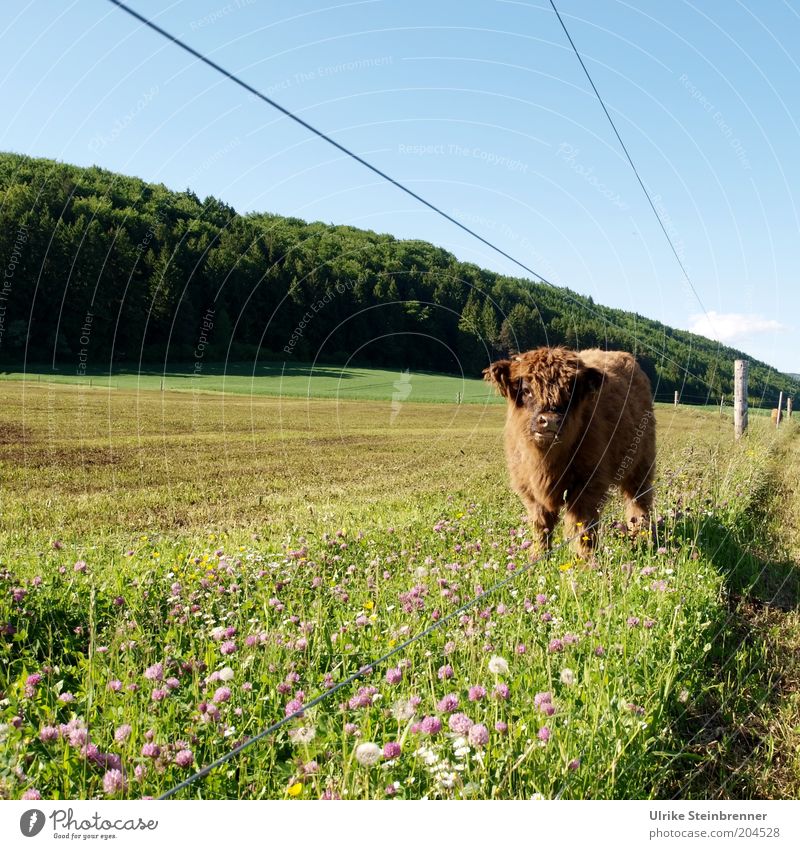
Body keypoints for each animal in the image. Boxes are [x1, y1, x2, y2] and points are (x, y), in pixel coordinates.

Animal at [484, 344, 652, 556]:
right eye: (526, 390)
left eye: (570, 392)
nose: (550, 421)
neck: (545, 463)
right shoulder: (530, 492)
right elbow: (541, 527)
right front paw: (538, 556)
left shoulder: (587, 487)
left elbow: (582, 528)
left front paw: (586, 559)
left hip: (641, 465)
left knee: (639, 502)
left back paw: (641, 537)